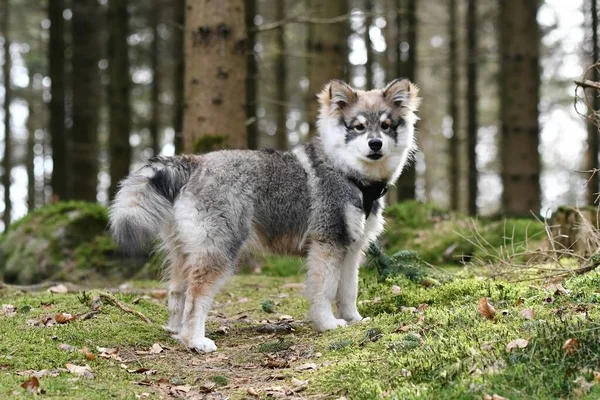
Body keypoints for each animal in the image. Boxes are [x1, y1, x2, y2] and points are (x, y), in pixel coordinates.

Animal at [111, 79, 422, 354]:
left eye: (385, 126)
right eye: (358, 127)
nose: (375, 144)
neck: (349, 173)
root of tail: (193, 163)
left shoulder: (351, 250)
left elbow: (348, 291)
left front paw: (354, 320)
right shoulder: (327, 246)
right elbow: (324, 291)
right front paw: (328, 324)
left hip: (185, 252)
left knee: (177, 293)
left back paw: (177, 333)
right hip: (218, 251)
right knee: (196, 296)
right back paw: (194, 341)